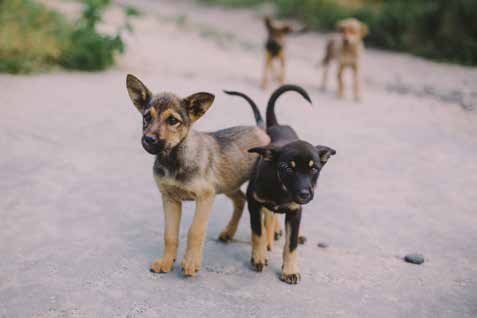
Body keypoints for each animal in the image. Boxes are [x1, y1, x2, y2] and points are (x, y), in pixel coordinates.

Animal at [125, 74, 272, 276]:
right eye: (147, 117)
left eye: (172, 120)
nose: (148, 139)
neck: (174, 158)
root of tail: (259, 128)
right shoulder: (170, 199)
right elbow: (170, 235)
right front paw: (166, 261)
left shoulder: (205, 197)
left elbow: (195, 231)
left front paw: (191, 262)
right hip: (228, 183)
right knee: (240, 200)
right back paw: (229, 232)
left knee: (269, 215)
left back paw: (268, 243)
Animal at [226, 84, 334, 284]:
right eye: (287, 168)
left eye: (314, 169)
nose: (305, 194)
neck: (281, 190)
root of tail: (277, 125)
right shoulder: (254, 203)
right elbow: (258, 233)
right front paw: (259, 257)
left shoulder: (295, 211)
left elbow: (291, 245)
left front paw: (290, 271)